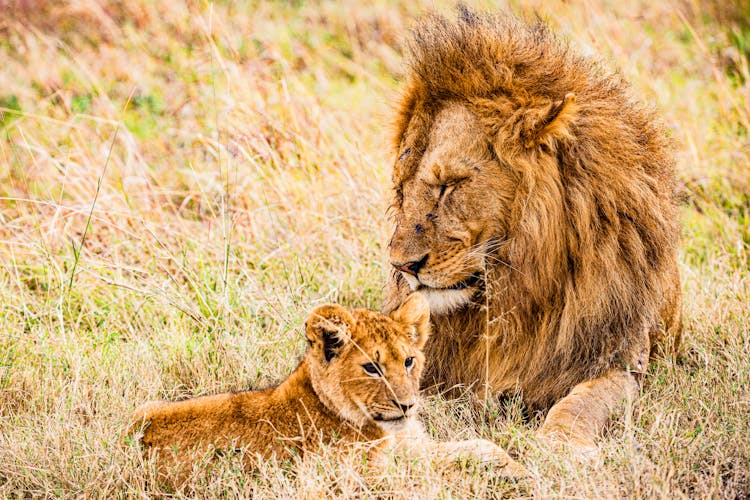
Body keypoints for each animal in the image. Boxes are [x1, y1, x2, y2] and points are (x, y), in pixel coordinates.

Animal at [384, 8, 684, 454]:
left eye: (448, 185)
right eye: (402, 188)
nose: (402, 266)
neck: (516, 286)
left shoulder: (620, 359)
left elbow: (581, 404)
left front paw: (556, 448)